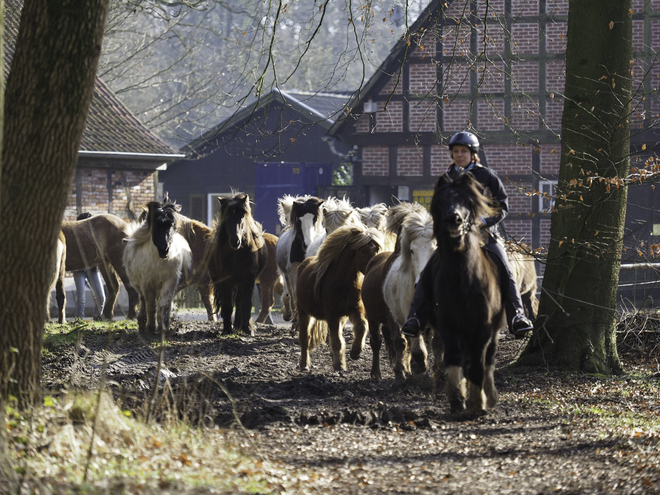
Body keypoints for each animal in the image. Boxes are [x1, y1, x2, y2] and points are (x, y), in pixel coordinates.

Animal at [124, 200, 192, 336]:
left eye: (171, 225)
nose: (164, 249)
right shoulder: (147, 284)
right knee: (144, 301)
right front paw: (150, 327)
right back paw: (143, 323)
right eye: (155, 225)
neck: (159, 262)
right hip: (141, 286)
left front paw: (164, 327)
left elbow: (164, 304)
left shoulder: (170, 281)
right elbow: (151, 305)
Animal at [208, 192, 266, 336]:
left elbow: (245, 303)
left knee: (240, 302)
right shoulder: (225, 281)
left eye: (242, 215)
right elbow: (227, 305)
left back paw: (240, 325)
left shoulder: (248, 279)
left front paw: (247, 328)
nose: (235, 241)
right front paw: (227, 329)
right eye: (227, 217)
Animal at [274, 196, 324, 324]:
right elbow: (294, 294)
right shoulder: (292, 271)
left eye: (314, 219)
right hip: (286, 275)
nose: (307, 244)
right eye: (298, 219)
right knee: (289, 293)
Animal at [296, 225, 384, 372]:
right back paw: (304, 364)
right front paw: (340, 365)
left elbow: (362, 326)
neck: (343, 283)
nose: (374, 265)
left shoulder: (355, 310)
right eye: (363, 250)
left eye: (376, 249)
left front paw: (355, 352)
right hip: (304, 312)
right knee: (305, 337)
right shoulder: (333, 315)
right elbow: (337, 340)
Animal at [430, 169, 502, 416]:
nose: (454, 219)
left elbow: (478, 365)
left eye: (467, 201)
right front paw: (457, 399)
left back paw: (489, 395)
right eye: (441, 202)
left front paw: (477, 403)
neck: (463, 281)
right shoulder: (449, 327)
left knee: (488, 360)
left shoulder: (483, 329)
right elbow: (454, 360)